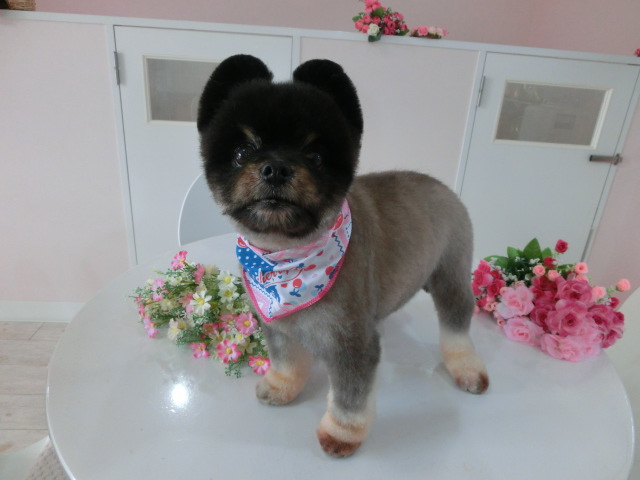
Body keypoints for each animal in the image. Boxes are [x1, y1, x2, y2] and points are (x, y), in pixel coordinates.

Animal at [197, 54, 489, 458]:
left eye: (315, 156)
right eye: (242, 153)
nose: (275, 168)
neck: (285, 259)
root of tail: (442, 186)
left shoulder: (353, 342)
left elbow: (351, 397)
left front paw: (341, 434)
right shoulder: (277, 324)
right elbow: (287, 362)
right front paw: (281, 387)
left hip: (451, 273)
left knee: (457, 323)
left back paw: (466, 367)